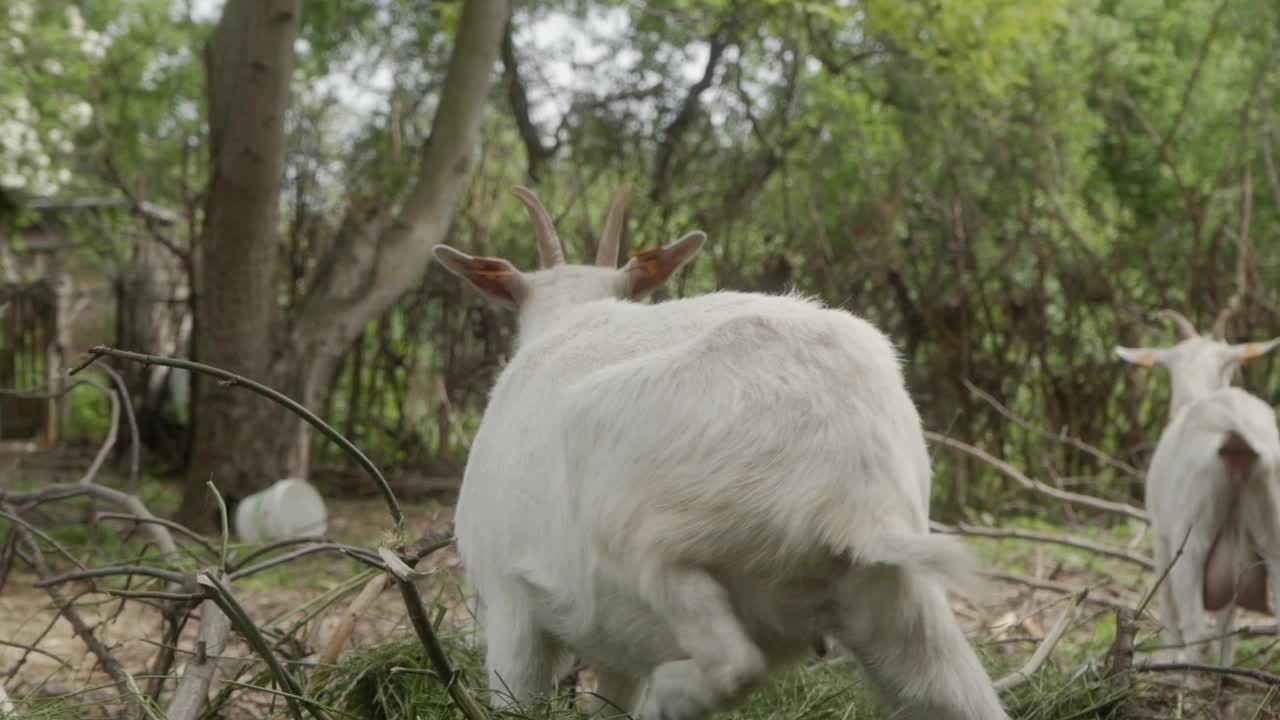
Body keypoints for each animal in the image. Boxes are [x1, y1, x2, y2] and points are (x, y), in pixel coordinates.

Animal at [435, 184, 1003, 717]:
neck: (575, 316)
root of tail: (855, 491)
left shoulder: (510, 604)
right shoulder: (614, 652)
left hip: (647, 538)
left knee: (735, 660)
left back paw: (669, 697)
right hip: (895, 602)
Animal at [1111, 308, 1280, 661]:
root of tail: (1235, 432)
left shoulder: (1160, 535)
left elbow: (1169, 610)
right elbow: (1228, 626)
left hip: (1192, 533)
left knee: (1194, 628)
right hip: (1272, 520)